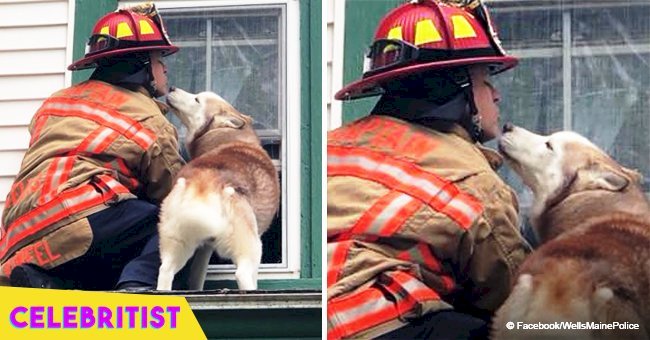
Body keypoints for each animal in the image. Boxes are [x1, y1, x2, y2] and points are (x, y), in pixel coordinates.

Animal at [158, 87, 280, 290]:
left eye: (196, 99)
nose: (171, 88)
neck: (225, 136)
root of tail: (203, 182)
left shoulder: (205, 249)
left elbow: (196, 278)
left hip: (176, 244)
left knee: (165, 271)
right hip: (251, 247)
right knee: (243, 274)